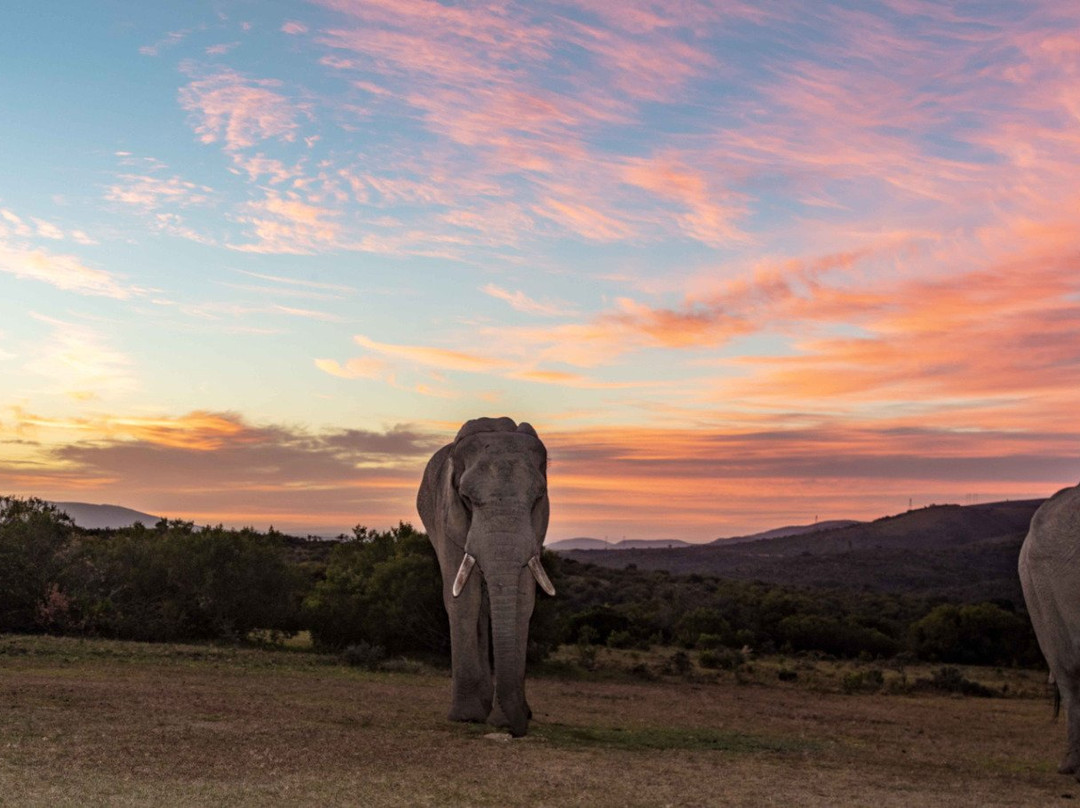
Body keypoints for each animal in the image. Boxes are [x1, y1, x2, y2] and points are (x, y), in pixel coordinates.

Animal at [416, 416, 555, 737]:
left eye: (538, 497)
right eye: (466, 498)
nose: (517, 727)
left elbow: (523, 601)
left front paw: (505, 717)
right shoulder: (447, 520)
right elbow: (463, 600)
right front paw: (467, 716)